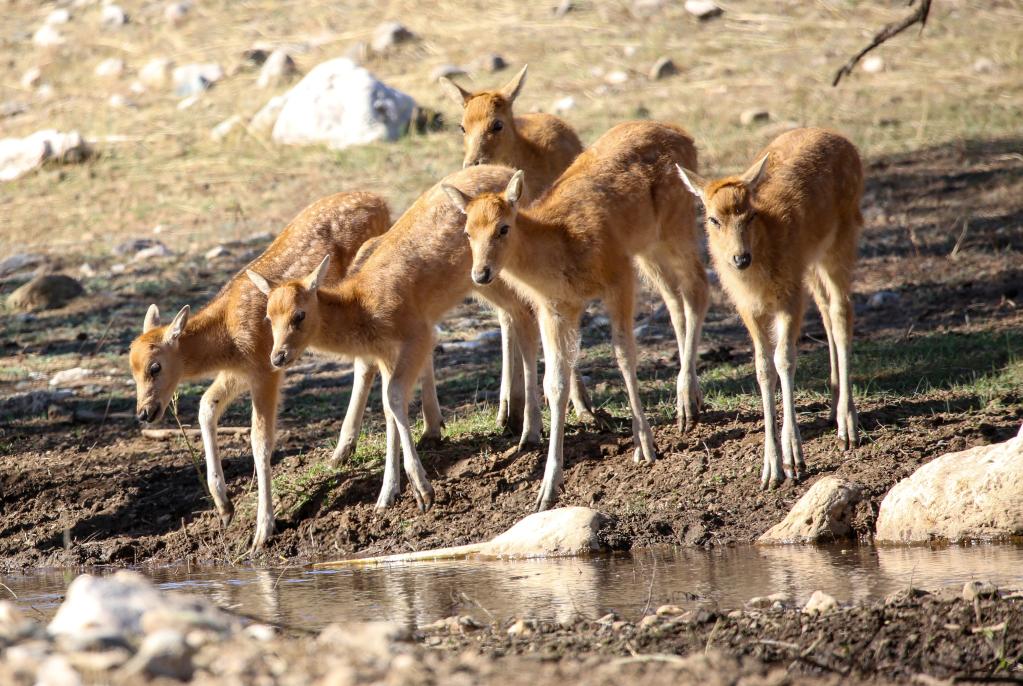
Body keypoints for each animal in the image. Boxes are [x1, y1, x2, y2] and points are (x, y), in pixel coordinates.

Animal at [126, 193, 439, 552]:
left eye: (155, 366)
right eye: (131, 369)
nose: (144, 412)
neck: (227, 335)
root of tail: (381, 201)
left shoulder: (265, 368)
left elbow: (260, 440)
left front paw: (263, 530)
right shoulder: (241, 370)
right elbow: (206, 406)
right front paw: (224, 506)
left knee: (374, 358)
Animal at [248, 164, 552, 509]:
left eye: (299, 315)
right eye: (268, 316)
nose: (278, 357)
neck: (363, 307)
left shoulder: (418, 333)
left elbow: (394, 397)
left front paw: (423, 489)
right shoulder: (385, 355)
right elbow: (387, 406)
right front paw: (387, 495)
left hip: (496, 273)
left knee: (527, 314)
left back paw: (532, 431)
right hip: (486, 281)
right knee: (518, 315)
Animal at [437, 65, 593, 429]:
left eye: (497, 123)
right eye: (461, 125)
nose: (472, 163)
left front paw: (584, 409)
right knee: (507, 318)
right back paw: (507, 408)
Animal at [448, 120, 712, 513]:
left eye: (503, 227)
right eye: (467, 232)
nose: (481, 273)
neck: (562, 249)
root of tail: (685, 135)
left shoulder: (618, 275)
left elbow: (624, 356)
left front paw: (645, 447)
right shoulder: (556, 308)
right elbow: (554, 383)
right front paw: (547, 489)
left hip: (677, 225)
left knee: (698, 290)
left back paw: (685, 403)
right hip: (648, 248)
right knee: (674, 300)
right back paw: (691, 399)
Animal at [679, 127, 863, 488]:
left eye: (749, 214)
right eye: (713, 219)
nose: (740, 258)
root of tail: (843, 140)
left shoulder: (789, 296)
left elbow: (785, 360)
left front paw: (794, 459)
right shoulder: (748, 308)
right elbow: (763, 368)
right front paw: (770, 469)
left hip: (842, 239)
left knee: (841, 311)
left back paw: (847, 425)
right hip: (812, 263)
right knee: (825, 309)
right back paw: (833, 404)